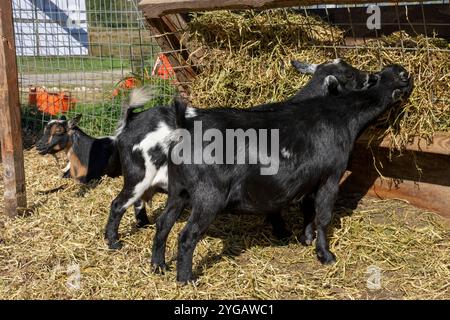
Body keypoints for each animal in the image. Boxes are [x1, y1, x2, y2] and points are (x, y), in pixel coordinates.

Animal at [104, 59, 376, 250]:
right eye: (349, 74)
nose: (371, 76)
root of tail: (131, 122)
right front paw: (287, 234)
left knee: (138, 202)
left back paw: (143, 224)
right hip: (139, 176)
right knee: (118, 204)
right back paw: (114, 242)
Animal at [153, 63, 414, 282]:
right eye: (349, 75)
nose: (371, 76)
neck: (341, 114)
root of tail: (185, 127)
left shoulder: (309, 180)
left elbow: (308, 210)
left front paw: (306, 238)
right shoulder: (330, 177)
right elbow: (323, 216)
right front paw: (325, 255)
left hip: (178, 191)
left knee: (163, 223)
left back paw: (158, 266)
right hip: (208, 197)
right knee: (187, 236)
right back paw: (185, 278)